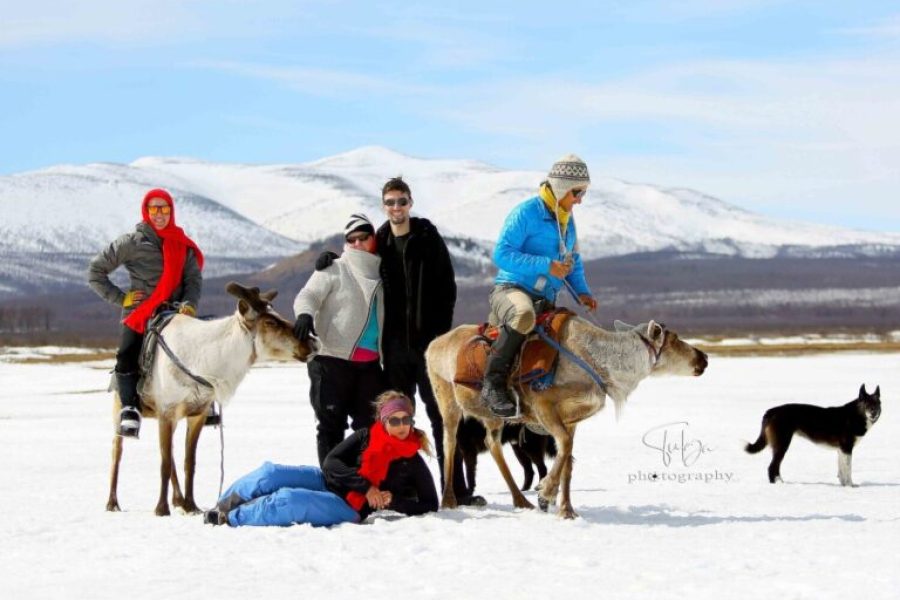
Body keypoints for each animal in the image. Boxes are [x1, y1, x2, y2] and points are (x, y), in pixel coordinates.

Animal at [740, 384, 884, 488]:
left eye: (877, 404)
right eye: (867, 404)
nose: (874, 413)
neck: (855, 415)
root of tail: (770, 411)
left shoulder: (841, 450)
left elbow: (841, 470)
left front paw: (844, 485)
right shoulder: (847, 448)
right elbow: (848, 470)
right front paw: (850, 486)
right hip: (782, 444)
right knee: (772, 467)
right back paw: (779, 485)